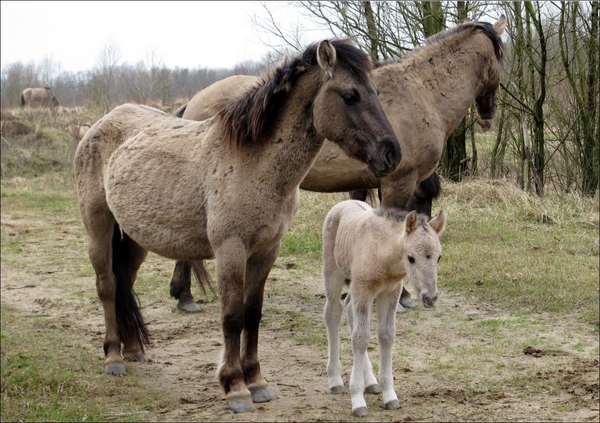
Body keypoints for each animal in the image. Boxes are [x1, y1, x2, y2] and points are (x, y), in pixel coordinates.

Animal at [76, 39, 404, 414]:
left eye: (375, 91)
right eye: (350, 95)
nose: (392, 153)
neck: (253, 162)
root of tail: (98, 125)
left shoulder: (265, 252)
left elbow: (253, 313)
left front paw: (257, 381)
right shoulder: (230, 250)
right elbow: (232, 316)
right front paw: (235, 387)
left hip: (134, 239)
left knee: (125, 284)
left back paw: (133, 350)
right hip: (98, 228)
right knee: (107, 286)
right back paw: (113, 357)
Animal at [169, 15, 506, 312]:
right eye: (502, 58)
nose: (489, 111)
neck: (421, 92)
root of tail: (195, 100)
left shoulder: (363, 184)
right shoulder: (398, 182)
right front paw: (402, 296)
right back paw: (185, 296)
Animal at [324, 200, 446, 418]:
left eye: (439, 257)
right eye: (411, 257)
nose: (430, 297)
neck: (382, 254)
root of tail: (343, 203)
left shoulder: (390, 292)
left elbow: (386, 336)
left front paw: (389, 395)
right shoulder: (364, 289)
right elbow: (361, 337)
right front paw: (357, 400)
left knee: (348, 308)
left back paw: (370, 381)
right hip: (334, 274)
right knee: (333, 313)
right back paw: (335, 380)